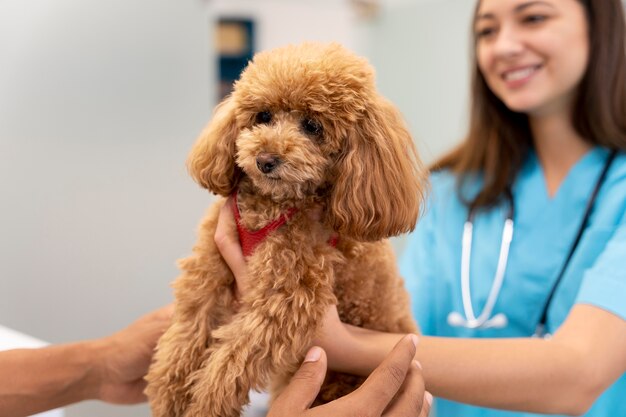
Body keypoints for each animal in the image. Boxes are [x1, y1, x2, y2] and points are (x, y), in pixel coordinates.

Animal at [144, 42, 426, 416]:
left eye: (312, 126)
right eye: (263, 116)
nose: (265, 159)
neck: (269, 208)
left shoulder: (286, 298)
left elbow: (233, 358)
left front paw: (205, 404)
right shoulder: (209, 268)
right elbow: (189, 327)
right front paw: (171, 393)